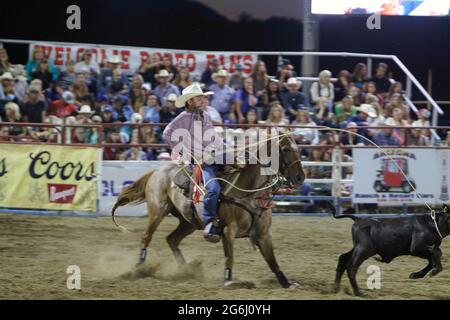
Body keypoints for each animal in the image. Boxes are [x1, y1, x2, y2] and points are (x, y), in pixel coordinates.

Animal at [110, 132, 304, 288]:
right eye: (285, 149)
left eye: (298, 148)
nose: (300, 177)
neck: (250, 192)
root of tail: (157, 171)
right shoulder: (228, 231)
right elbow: (229, 257)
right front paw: (229, 281)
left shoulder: (264, 234)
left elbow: (273, 261)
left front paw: (286, 283)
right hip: (158, 211)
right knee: (146, 237)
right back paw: (138, 269)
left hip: (189, 221)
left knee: (172, 239)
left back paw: (186, 270)